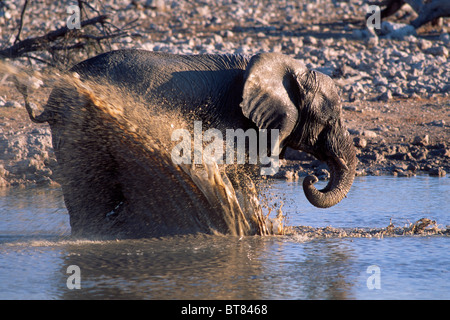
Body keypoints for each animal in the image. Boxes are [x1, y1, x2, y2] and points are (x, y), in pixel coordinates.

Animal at [24, 50, 356, 239]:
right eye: (331, 119)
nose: (312, 177)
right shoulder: (231, 120)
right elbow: (238, 174)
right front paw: (250, 234)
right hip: (78, 121)